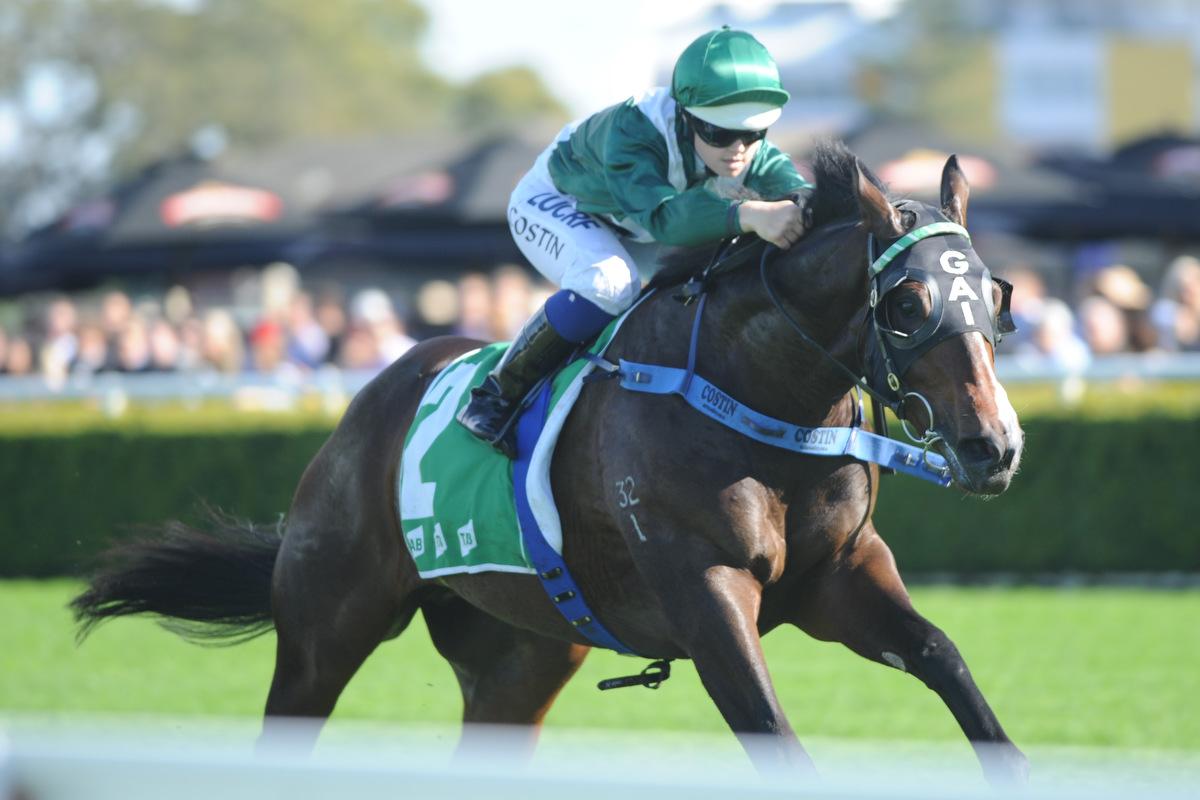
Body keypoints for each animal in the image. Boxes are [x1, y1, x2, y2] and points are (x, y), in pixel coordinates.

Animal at [72, 141, 1028, 784]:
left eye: (995, 296)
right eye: (907, 302)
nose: (995, 445)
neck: (755, 400)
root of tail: (361, 411)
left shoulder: (839, 577)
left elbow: (943, 658)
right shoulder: (707, 593)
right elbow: (775, 732)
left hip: (519, 658)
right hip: (325, 627)